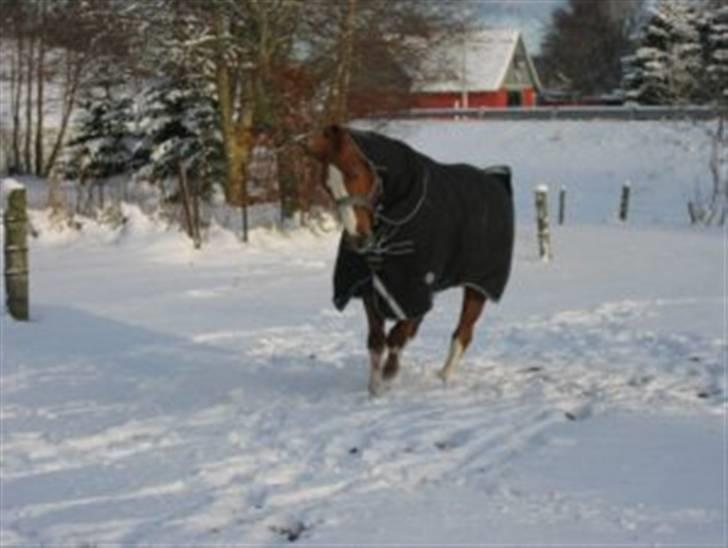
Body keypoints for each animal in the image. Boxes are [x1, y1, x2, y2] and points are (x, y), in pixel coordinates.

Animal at [300, 126, 512, 396]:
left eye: (355, 173)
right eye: (327, 185)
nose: (358, 240)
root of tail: (495, 178)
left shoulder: (414, 288)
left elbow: (397, 335)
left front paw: (389, 376)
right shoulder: (372, 287)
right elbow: (377, 339)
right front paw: (375, 387)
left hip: (479, 286)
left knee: (463, 333)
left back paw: (443, 377)